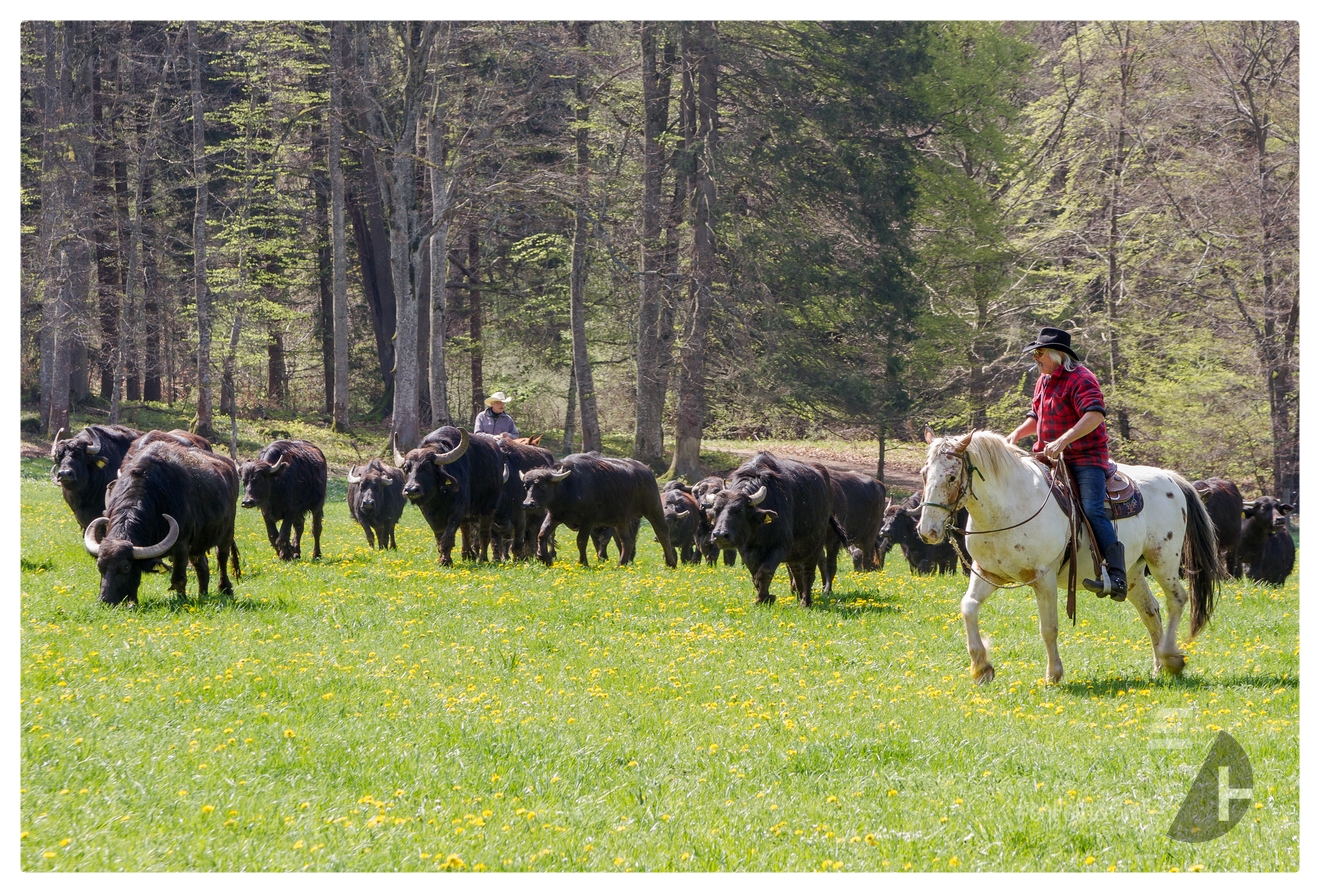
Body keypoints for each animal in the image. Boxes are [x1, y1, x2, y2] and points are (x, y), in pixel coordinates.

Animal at [82, 437, 241, 606]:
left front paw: (181, 601)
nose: (105, 601)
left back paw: (225, 588)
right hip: (198, 543)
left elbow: (178, 579)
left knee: (222, 557)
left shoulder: (181, 546)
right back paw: (202, 595)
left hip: (227, 532)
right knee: (202, 566)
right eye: (100, 566)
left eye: (125, 567)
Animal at [390, 427, 504, 564]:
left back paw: (483, 559)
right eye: (406, 468)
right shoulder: (428, 513)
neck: (439, 498)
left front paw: (445, 561)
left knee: (484, 534)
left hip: (489, 508)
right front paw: (444, 557)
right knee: (466, 531)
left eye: (427, 466)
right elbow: (439, 537)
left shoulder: (458, 509)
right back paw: (467, 555)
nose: (411, 490)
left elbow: (448, 536)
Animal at [517, 448, 675, 567]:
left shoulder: (588, 520)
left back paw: (671, 563)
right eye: (526, 485)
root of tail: (647, 470)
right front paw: (543, 558)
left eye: (543, 485)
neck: (568, 487)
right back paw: (620, 564)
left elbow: (581, 540)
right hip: (621, 520)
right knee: (627, 541)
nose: (528, 504)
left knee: (662, 532)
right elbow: (542, 534)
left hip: (653, 508)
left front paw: (583, 562)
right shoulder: (555, 516)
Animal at [707, 453, 839, 606]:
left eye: (739, 510)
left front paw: (765, 598)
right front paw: (762, 597)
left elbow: (765, 571)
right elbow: (755, 574)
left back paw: (805, 601)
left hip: (816, 544)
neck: (760, 530)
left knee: (809, 572)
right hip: (796, 551)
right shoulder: (746, 549)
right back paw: (799, 594)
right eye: (716, 509)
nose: (720, 535)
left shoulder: (780, 546)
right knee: (796, 570)